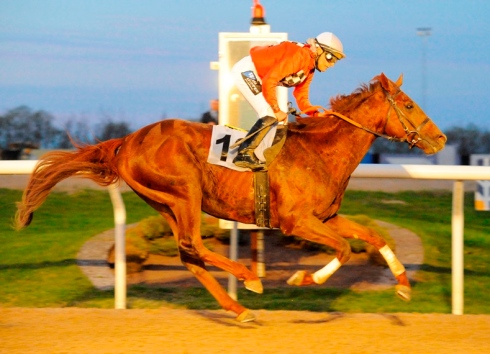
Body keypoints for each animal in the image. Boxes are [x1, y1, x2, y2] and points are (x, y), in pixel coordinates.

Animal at [15, 73, 446, 322]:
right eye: (408, 104)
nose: (440, 138)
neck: (321, 152)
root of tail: (127, 141)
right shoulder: (297, 221)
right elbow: (343, 249)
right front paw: (303, 276)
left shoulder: (325, 217)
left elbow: (375, 238)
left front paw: (404, 286)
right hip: (185, 192)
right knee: (193, 244)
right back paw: (247, 278)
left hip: (165, 202)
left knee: (189, 254)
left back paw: (237, 308)